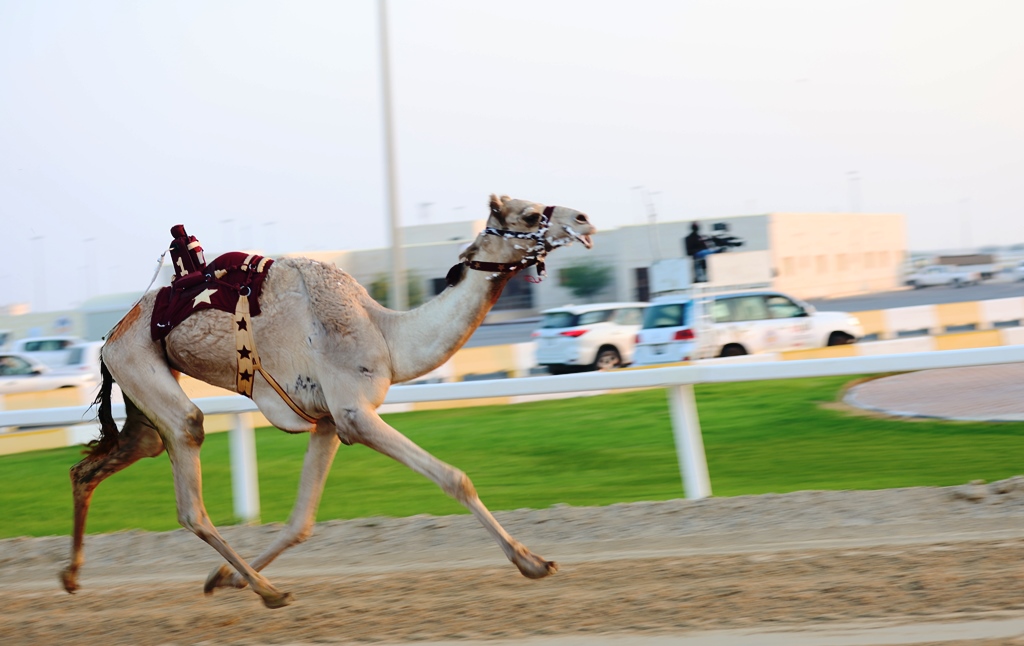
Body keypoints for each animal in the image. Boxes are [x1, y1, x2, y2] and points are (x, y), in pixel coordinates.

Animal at [59, 194, 598, 610]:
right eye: (529, 214)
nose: (584, 219)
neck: (386, 336)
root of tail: (110, 337)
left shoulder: (326, 423)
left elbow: (301, 522)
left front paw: (222, 579)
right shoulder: (354, 413)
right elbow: (454, 478)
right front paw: (533, 562)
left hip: (140, 396)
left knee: (101, 463)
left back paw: (72, 576)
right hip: (140, 364)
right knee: (190, 469)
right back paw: (269, 592)